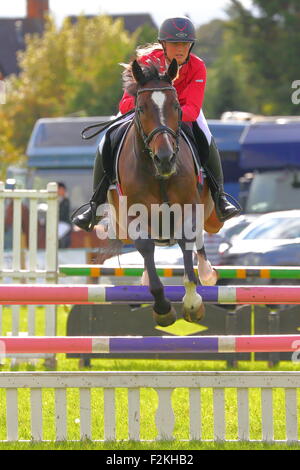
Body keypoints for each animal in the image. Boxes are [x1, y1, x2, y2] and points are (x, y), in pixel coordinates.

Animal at [105, 59, 223, 326]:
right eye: (140, 109)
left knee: (198, 242)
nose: (166, 159)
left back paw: (207, 274)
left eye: (176, 106)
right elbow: (146, 247)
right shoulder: (133, 214)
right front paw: (162, 307)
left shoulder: (189, 208)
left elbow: (187, 240)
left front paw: (193, 302)